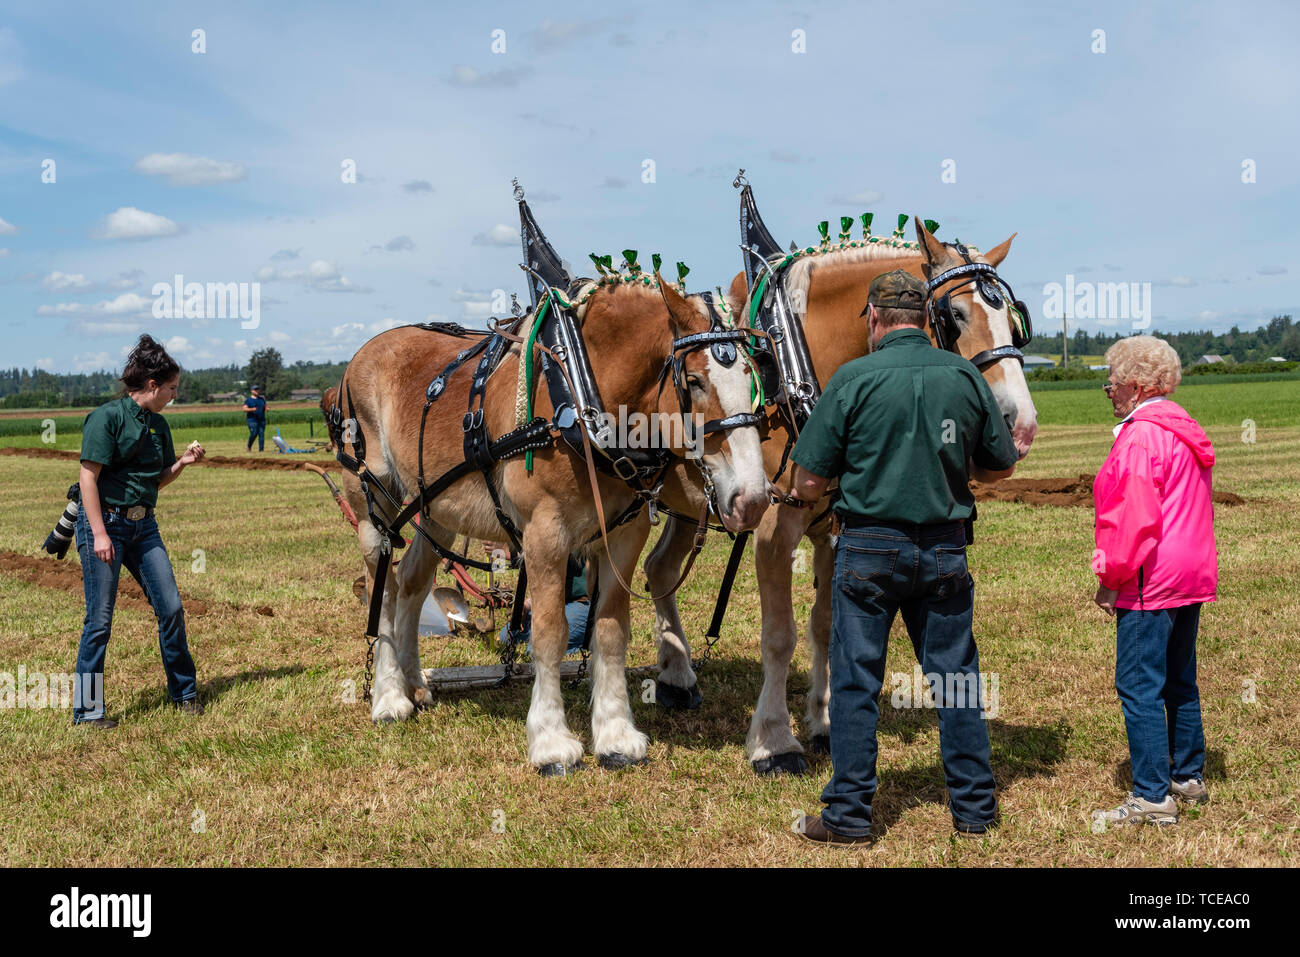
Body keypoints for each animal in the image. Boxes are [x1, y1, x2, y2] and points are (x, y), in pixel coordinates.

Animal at [330, 274, 769, 769]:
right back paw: (389, 697)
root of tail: (361, 356)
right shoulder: (545, 534)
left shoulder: (624, 533)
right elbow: (548, 632)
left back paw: (415, 684)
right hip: (371, 503)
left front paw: (616, 734)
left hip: (437, 508)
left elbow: (611, 631)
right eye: (692, 381)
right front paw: (551, 740)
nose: (752, 499)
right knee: (381, 588)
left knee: (411, 582)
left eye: (754, 378)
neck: (581, 393)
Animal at [644, 217, 1040, 769]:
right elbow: (780, 635)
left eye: (1014, 319)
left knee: (659, 568)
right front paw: (774, 741)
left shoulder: (835, 527)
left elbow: (825, 625)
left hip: (689, 506)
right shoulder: (773, 527)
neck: (797, 367)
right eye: (955, 316)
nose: (1020, 426)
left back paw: (676, 678)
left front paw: (825, 722)